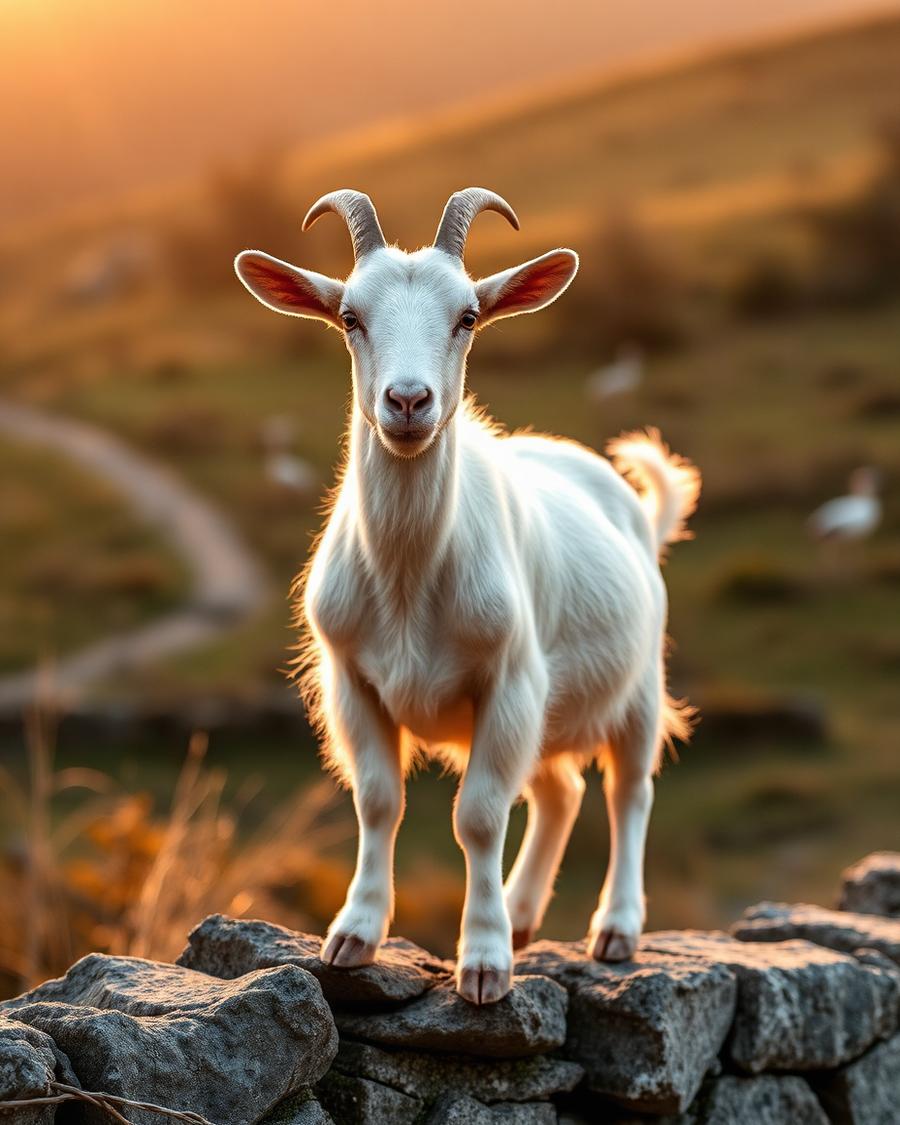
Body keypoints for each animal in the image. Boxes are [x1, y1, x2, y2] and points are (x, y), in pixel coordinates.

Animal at [235, 188, 700, 1004]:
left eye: (468, 317)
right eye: (350, 317)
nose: (408, 400)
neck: (410, 576)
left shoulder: (508, 679)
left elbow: (479, 816)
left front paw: (483, 962)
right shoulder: (351, 679)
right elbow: (378, 800)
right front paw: (355, 934)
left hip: (637, 682)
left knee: (627, 791)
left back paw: (615, 927)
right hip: (551, 708)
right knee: (560, 791)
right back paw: (523, 913)